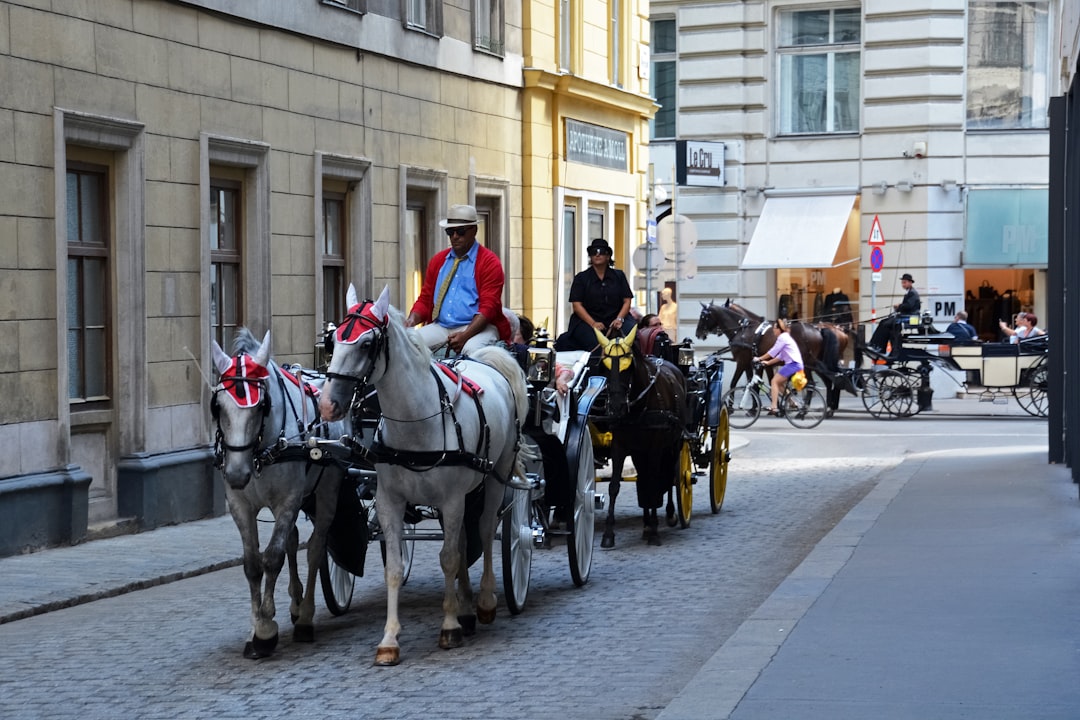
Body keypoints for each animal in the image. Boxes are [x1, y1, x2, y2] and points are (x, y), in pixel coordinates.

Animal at [210, 330, 345, 656]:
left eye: (261, 406)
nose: (236, 474)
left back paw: (305, 616)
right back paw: (296, 604)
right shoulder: (240, 504)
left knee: (315, 547)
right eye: (217, 406)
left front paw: (266, 630)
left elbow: (272, 558)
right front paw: (255, 626)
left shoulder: (288, 500)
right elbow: (252, 564)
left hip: (326, 492)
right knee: (294, 540)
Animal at [315, 284, 527, 669]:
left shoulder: (451, 498)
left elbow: (448, 558)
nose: (328, 405)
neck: (416, 420)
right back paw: (467, 607)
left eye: (366, 344)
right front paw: (388, 641)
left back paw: (484, 603)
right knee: (463, 540)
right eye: (334, 340)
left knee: (485, 531)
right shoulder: (390, 501)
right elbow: (397, 567)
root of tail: (483, 361)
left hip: (495, 476)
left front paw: (449, 626)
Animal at [587, 325, 686, 546]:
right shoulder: (621, 446)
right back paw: (646, 523)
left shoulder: (656, 447)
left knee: (671, 474)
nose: (615, 407)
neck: (639, 407)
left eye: (628, 368)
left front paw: (655, 531)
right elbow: (614, 486)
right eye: (605, 368)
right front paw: (608, 534)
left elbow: (654, 482)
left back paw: (669, 515)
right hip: (640, 452)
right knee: (644, 477)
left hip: (674, 443)